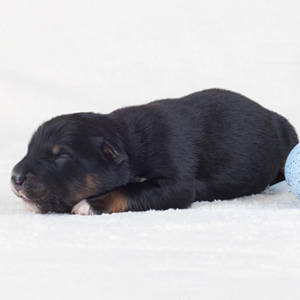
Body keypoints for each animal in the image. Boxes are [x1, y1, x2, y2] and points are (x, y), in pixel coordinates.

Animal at [9, 88, 298, 214]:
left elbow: (130, 190)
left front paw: (90, 204)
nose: (15, 178)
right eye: (29, 149)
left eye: (61, 156)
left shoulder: (177, 180)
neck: (129, 143)